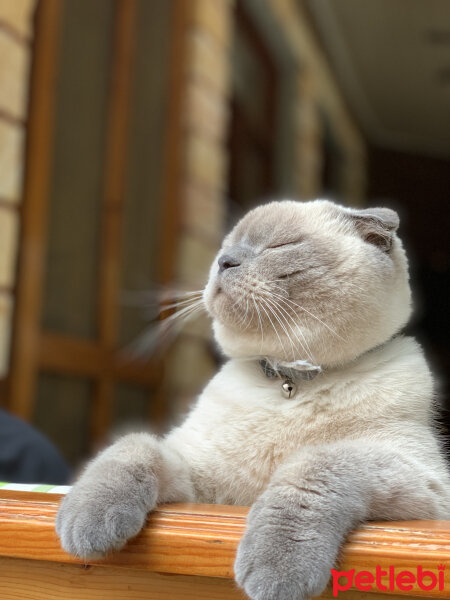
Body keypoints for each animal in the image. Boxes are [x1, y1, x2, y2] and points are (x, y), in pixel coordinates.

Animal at [55, 200, 450, 600]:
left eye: (280, 245)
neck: (289, 380)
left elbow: (313, 466)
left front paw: (275, 574)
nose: (225, 261)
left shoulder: (423, 479)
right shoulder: (198, 484)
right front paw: (84, 525)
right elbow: (134, 447)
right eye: (225, 248)